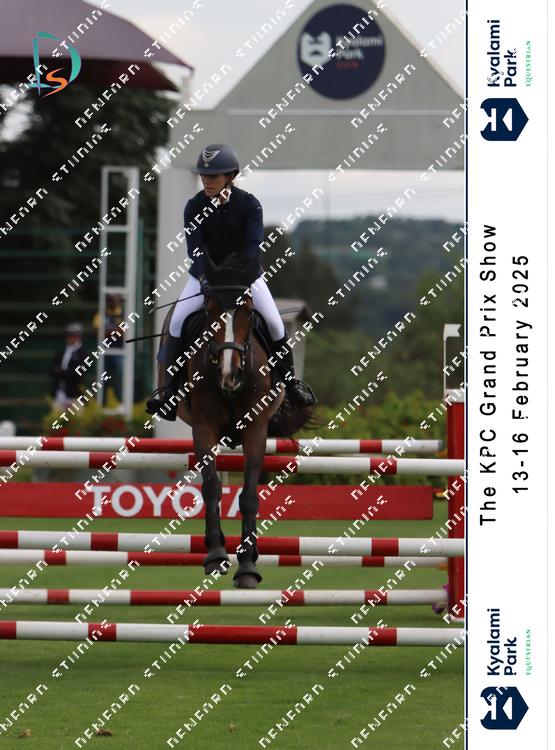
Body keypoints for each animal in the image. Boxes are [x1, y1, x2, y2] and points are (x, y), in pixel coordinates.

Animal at [157, 253, 315, 588]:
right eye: (209, 311)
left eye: (248, 312)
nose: (231, 373)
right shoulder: (203, 428)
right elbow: (212, 488)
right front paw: (216, 554)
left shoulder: (256, 430)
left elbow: (250, 495)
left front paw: (248, 565)